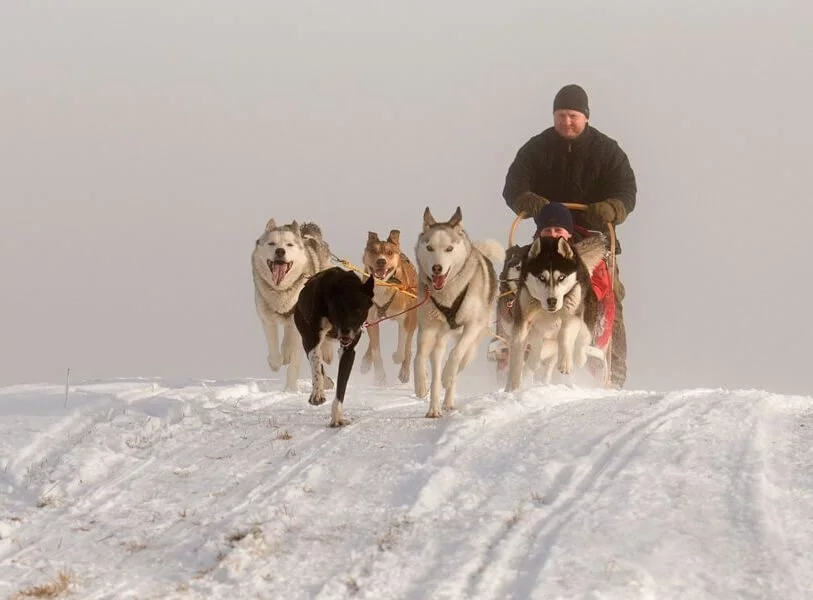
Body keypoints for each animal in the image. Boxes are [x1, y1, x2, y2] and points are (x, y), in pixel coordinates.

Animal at [252, 218, 332, 392]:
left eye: (289, 244)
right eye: (272, 243)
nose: (280, 251)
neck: (282, 292)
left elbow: (294, 363)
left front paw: (290, 389)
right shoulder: (267, 319)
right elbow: (275, 352)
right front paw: (276, 361)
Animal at [294, 268, 376, 426]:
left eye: (358, 310)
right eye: (339, 309)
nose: (345, 331)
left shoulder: (348, 350)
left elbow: (342, 385)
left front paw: (337, 416)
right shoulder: (312, 338)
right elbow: (316, 363)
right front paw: (317, 393)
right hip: (304, 334)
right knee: (317, 360)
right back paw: (323, 384)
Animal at [358, 230, 416, 384]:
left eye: (389, 252)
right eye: (373, 251)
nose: (381, 261)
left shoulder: (405, 318)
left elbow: (402, 345)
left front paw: (397, 357)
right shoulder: (371, 319)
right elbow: (376, 349)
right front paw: (379, 375)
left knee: (408, 346)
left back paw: (404, 371)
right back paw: (366, 362)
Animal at [416, 206, 504, 418]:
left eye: (449, 248)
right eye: (429, 248)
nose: (437, 268)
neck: (447, 294)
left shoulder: (472, 326)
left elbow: (455, 354)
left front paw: (447, 376)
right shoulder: (427, 328)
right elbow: (419, 357)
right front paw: (421, 383)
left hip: (471, 350)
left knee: (458, 365)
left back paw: (448, 396)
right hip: (438, 342)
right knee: (434, 365)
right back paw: (434, 407)